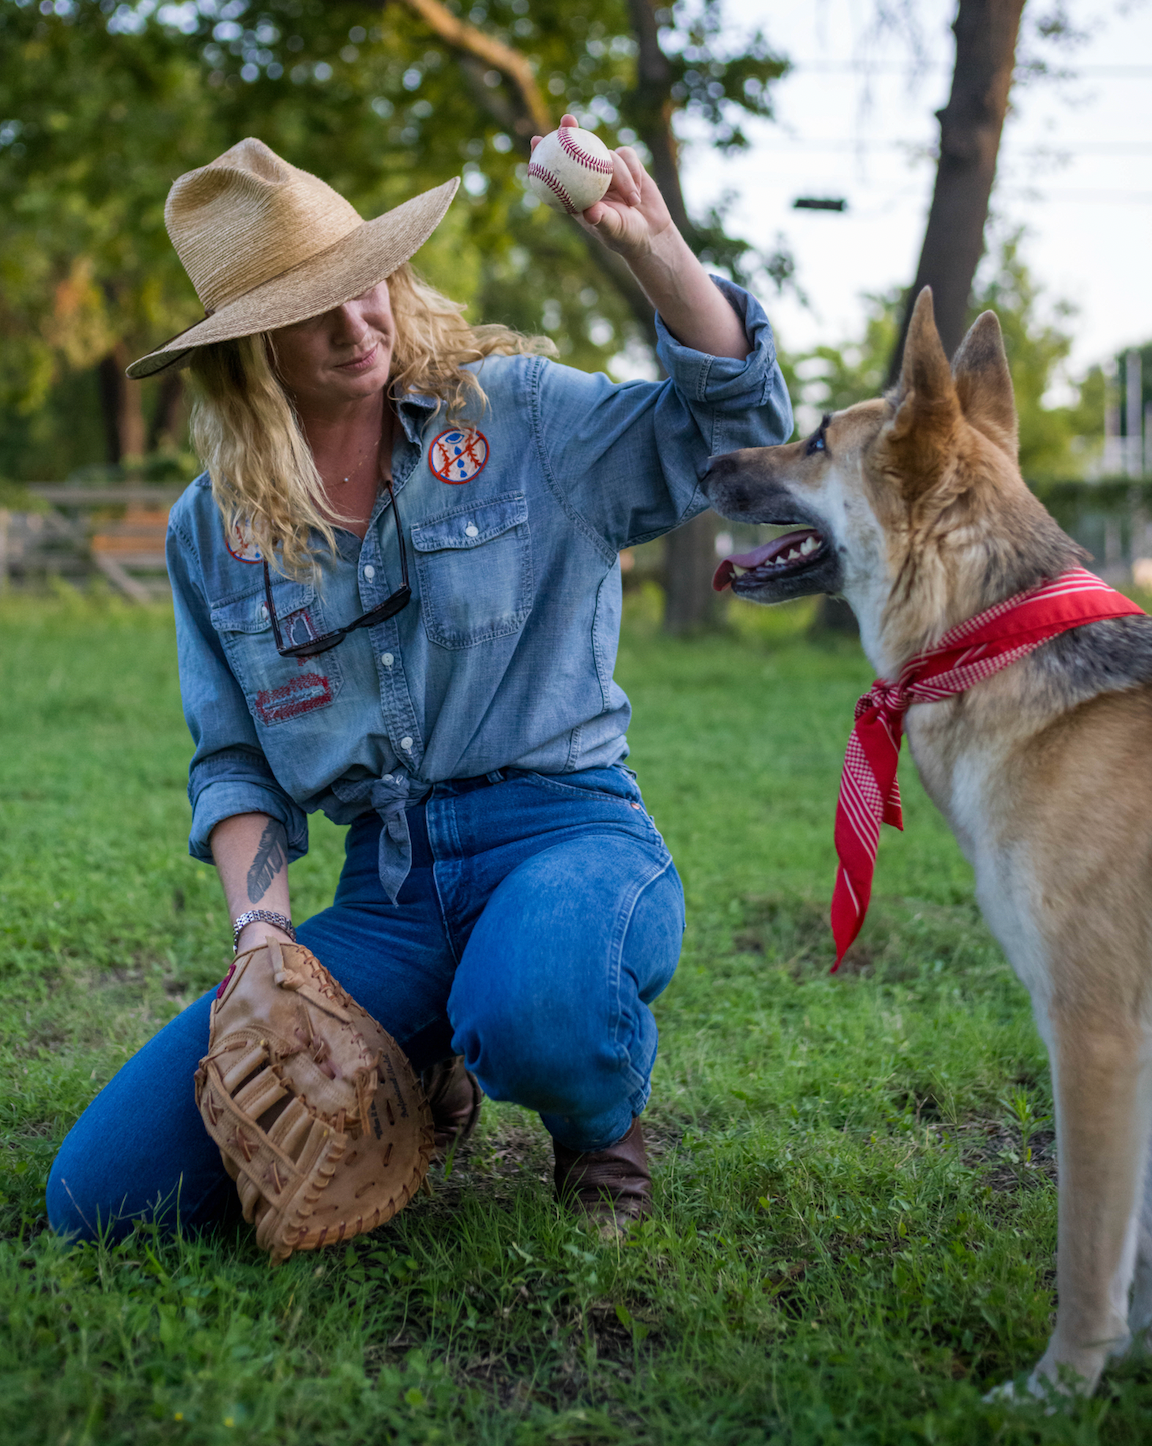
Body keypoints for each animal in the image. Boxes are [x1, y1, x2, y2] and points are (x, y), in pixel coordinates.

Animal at [696, 287, 1150, 1393]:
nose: (707, 462)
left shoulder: (1097, 1031)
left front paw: (1059, 1389)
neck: (995, 636)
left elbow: (1092, 1246)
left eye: (817, 441)